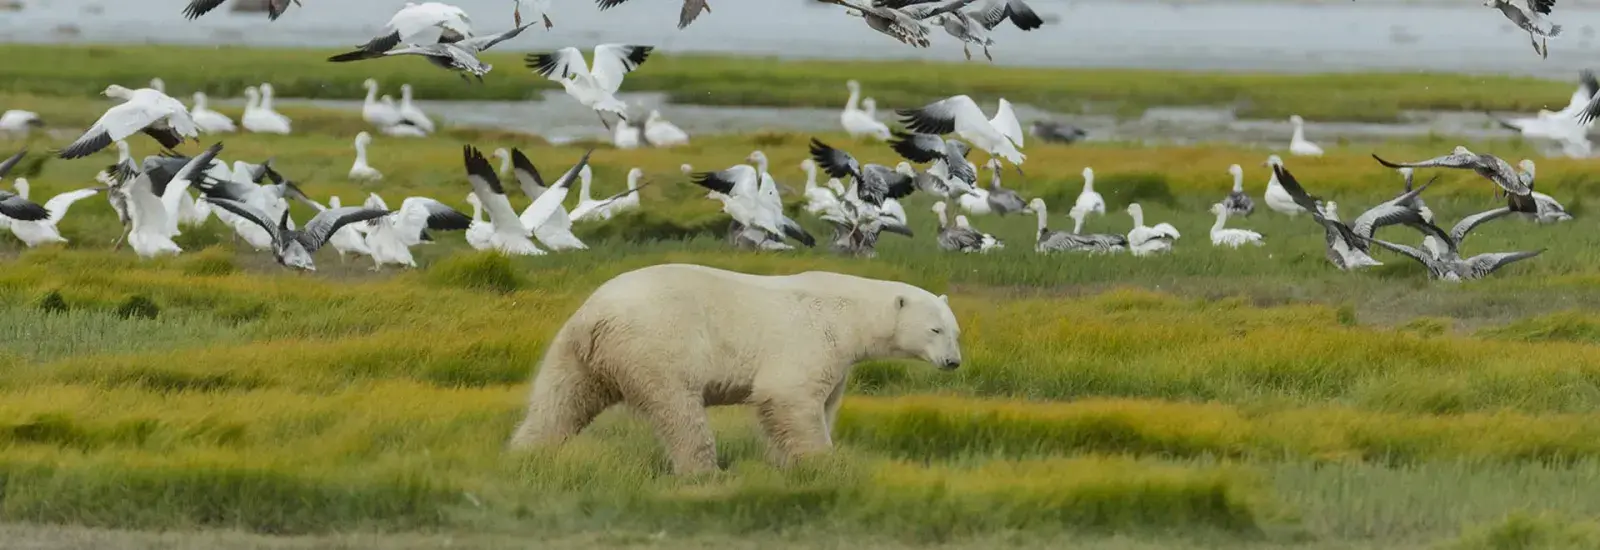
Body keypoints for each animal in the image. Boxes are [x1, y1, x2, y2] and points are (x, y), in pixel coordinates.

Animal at [507, 263, 963, 475]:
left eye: (957, 332)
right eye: (935, 328)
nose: (953, 362)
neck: (847, 313)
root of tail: (594, 315)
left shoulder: (837, 358)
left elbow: (824, 403)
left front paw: (789, 462)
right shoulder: (808, 339)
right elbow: (790, 396)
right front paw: (822, 463)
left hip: (577, 354)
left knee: (560, 402)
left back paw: (526, 453)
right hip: (657, 345)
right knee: (679, 410)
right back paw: (704, 471)